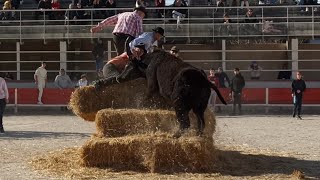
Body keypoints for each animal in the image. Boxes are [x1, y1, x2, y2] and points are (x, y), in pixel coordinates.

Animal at [95, 50, 228, 138]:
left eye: (129, 65)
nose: (119, 78)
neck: (150, 62)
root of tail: (204, 80)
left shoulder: (152, 85)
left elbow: (147, 96)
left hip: (179, 103)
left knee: (185, 122)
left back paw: (175, 135)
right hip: (199, 107)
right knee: (201, 122)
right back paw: (197, 135)